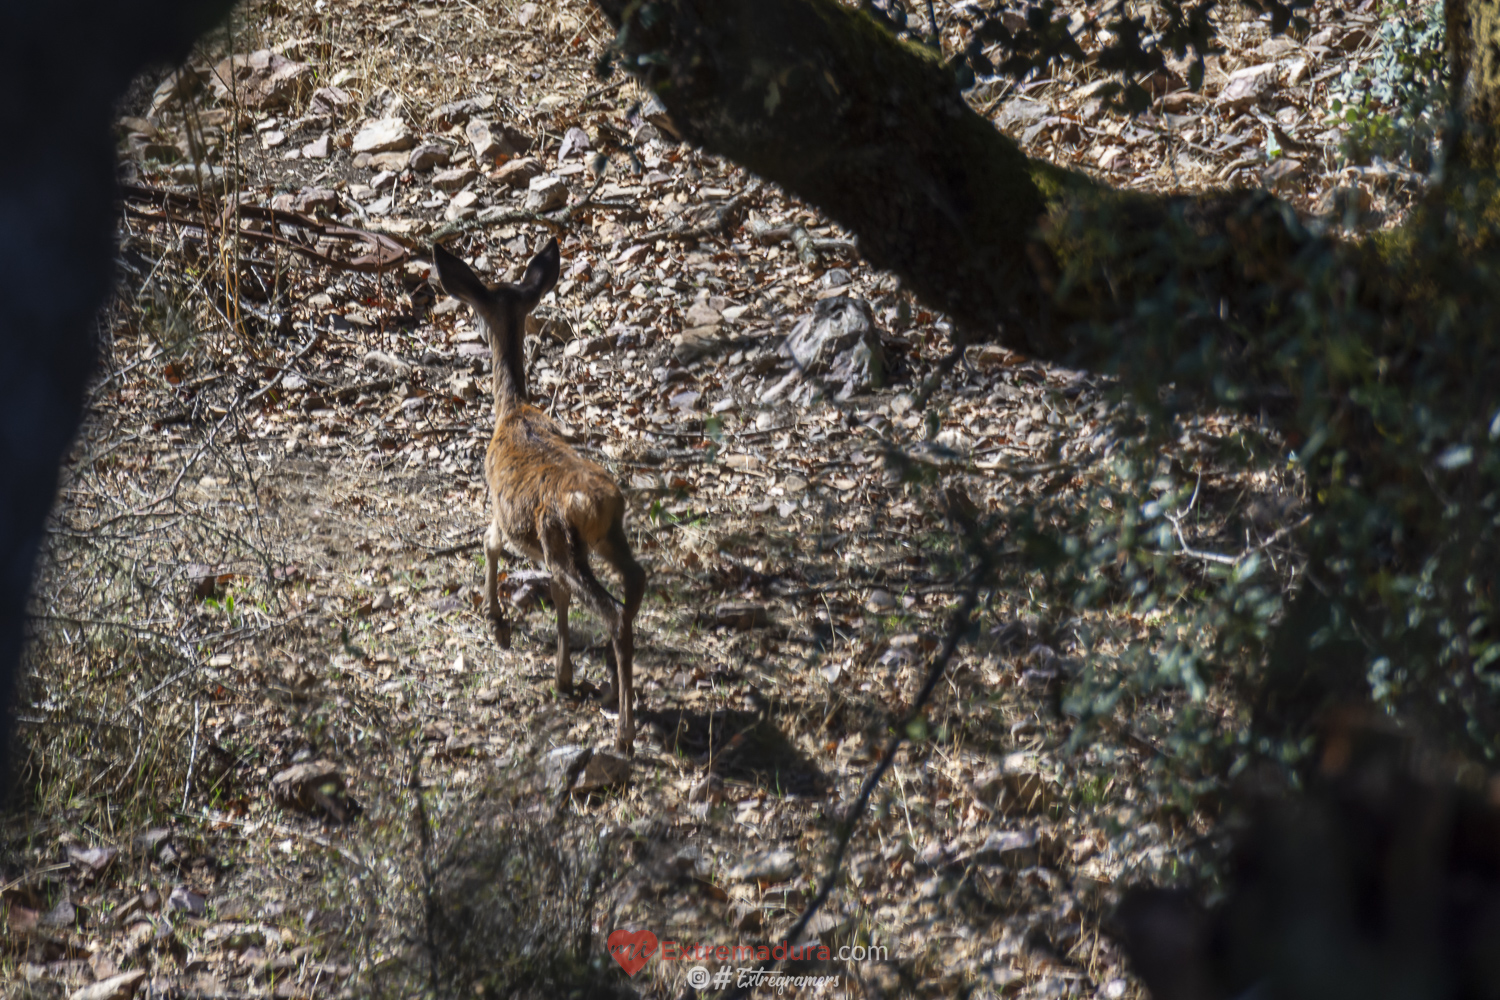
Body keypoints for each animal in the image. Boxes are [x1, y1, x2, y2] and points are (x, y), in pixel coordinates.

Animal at [432, 238, 648, 755]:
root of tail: (599, 504)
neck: (511, 410)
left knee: (611, 611)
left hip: (561, 542)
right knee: (634, 583)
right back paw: (613, 692)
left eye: (479, 311)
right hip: (604, 538)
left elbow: (489, 543)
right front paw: (563, 676)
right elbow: (558, 598)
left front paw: (494, 618)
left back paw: (624, 733)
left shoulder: (496, 502)